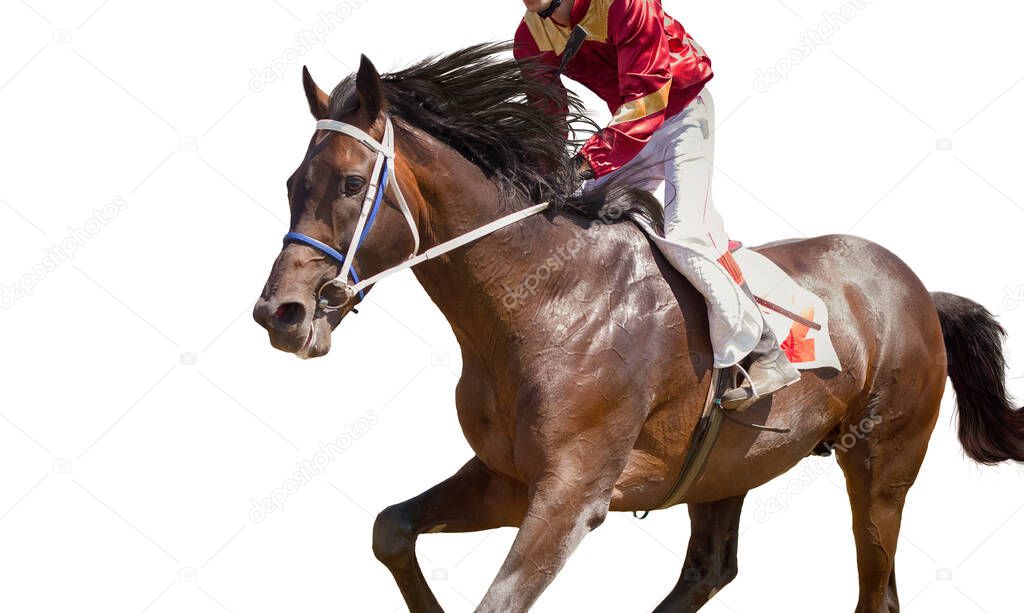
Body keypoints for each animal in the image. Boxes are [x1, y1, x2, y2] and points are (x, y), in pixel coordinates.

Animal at [249, 45, 1024, 609]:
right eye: (291, 183)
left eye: (352, 184)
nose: (280, 314)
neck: (537, 299)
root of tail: (916, 286)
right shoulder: (508, 478)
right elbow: (392, 528)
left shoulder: (572, 494)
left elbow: (496, 598)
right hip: (729, 465)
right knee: (711, 568)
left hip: (881, 464)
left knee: (876, 587)